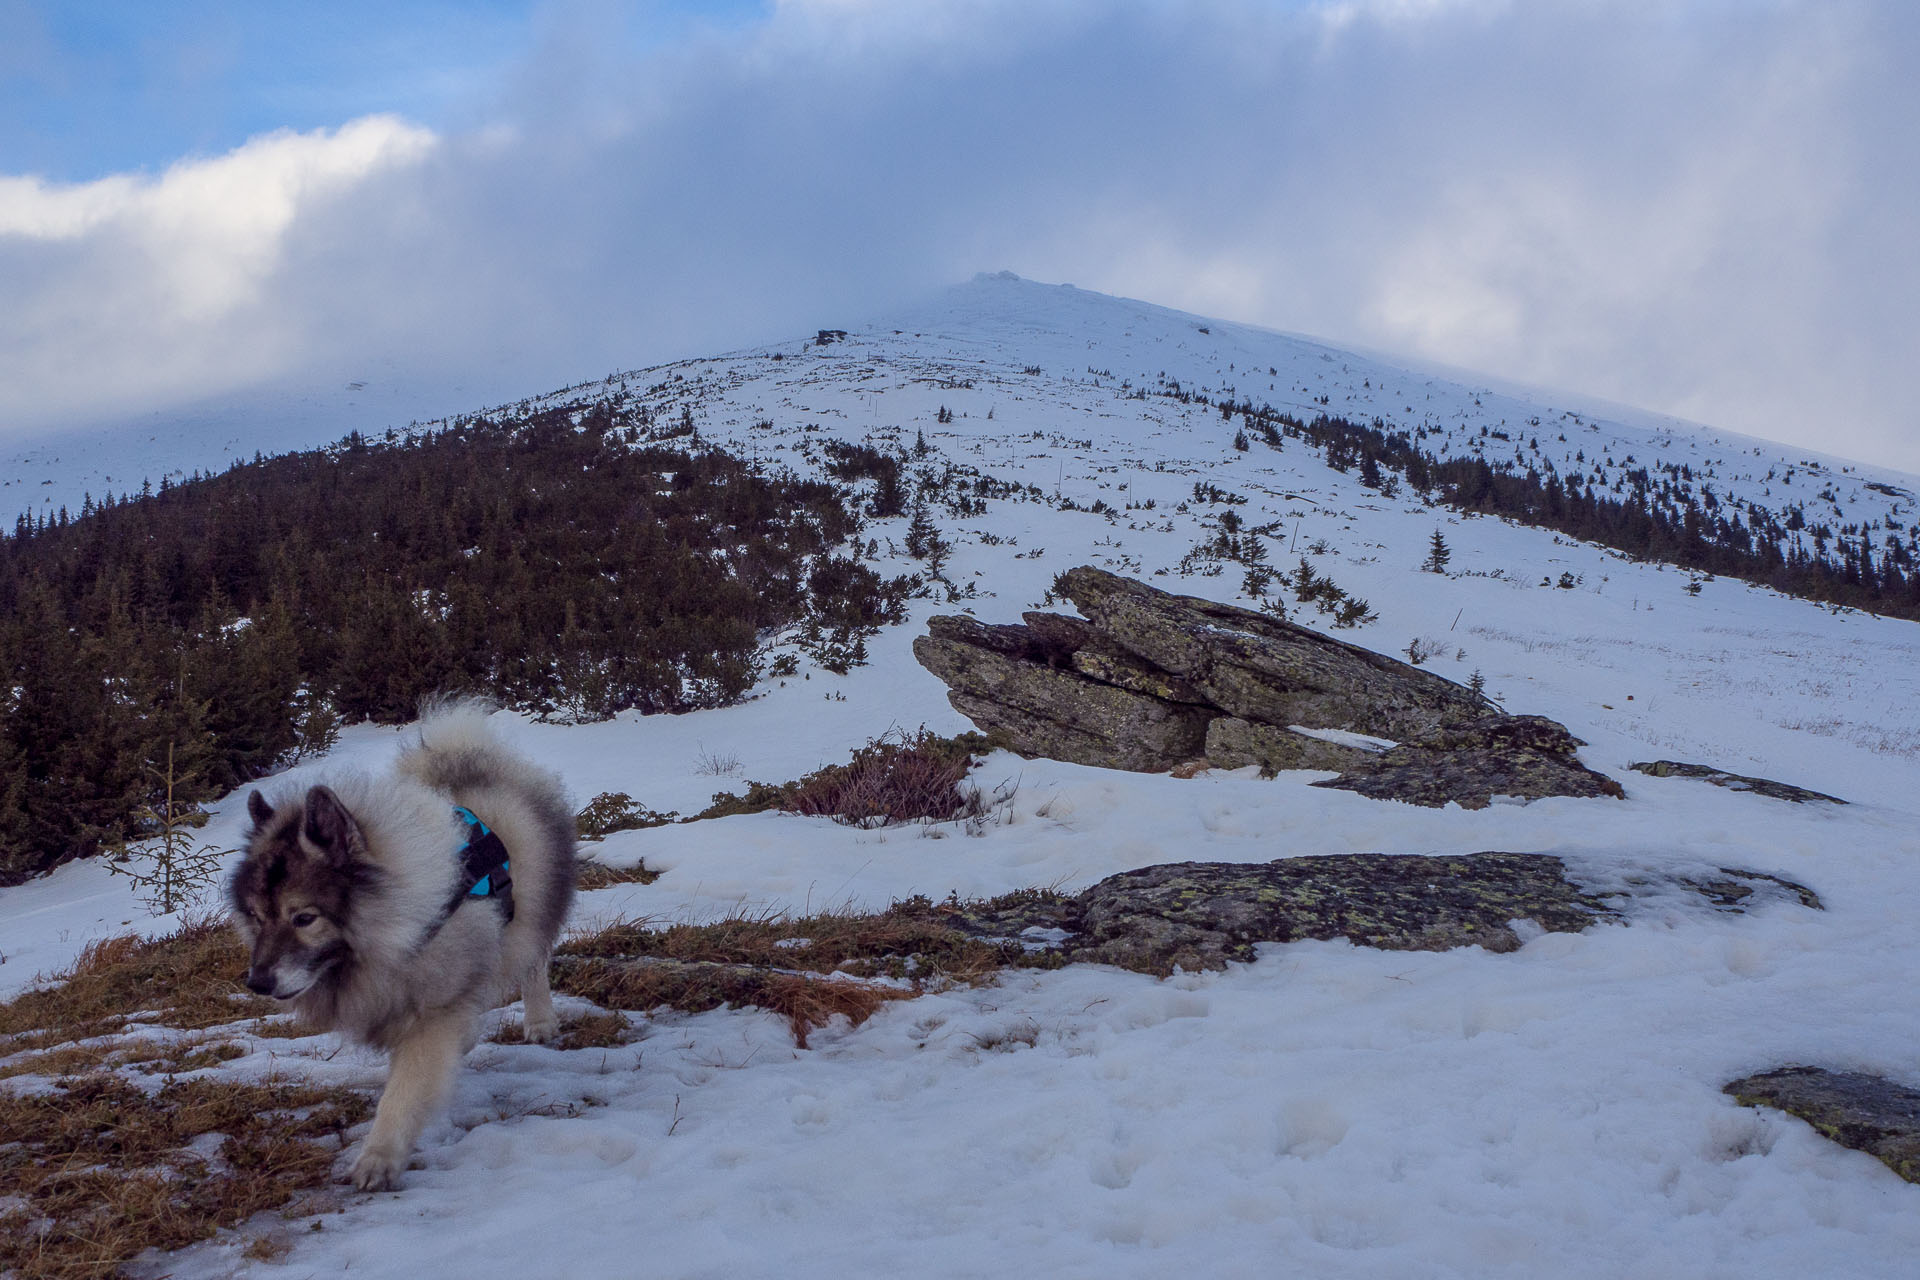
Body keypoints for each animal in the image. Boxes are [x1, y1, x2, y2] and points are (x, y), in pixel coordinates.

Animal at [229, 702, 572, 1189]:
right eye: (257, 918)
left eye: (304, 919)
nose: (256, 982)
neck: (402, 918)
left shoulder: (433, 1013)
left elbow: (404, 1092)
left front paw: (378, 1158)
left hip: (533, 913)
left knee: (533, 961)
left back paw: (540, 1020)